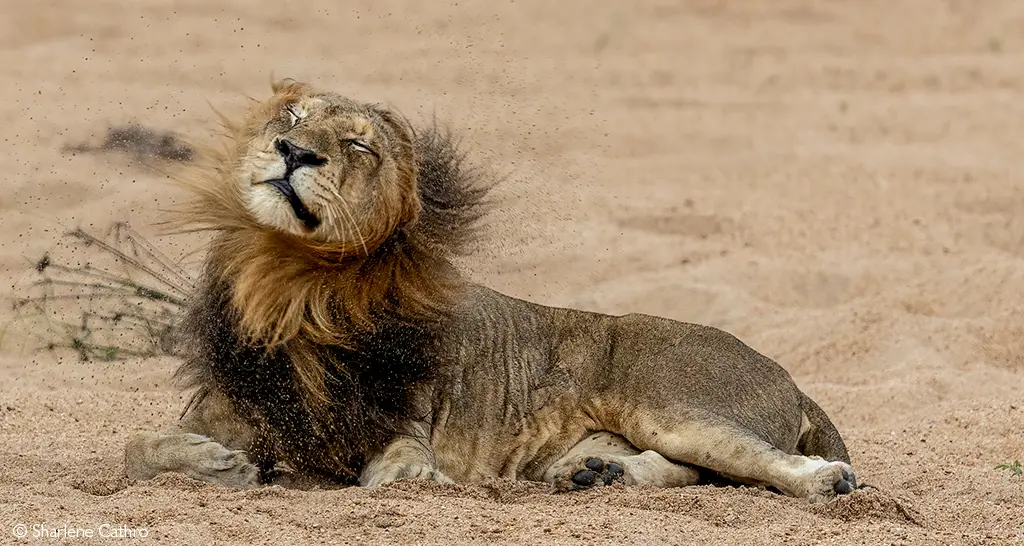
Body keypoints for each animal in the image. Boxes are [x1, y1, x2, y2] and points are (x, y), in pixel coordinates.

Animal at [124, 78, 857, 503]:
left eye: (359, 147)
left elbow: (398, 470)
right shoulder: (229, 409)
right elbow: (136, 451)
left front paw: (419, 478)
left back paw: (828, 480)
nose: (293, 151)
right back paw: (599, 475)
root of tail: (788, 377)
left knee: (757, 461)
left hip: (674, 402)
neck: (295, 291)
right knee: (702, 472)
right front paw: (218, 466)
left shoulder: (404, 424)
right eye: (292, 114)